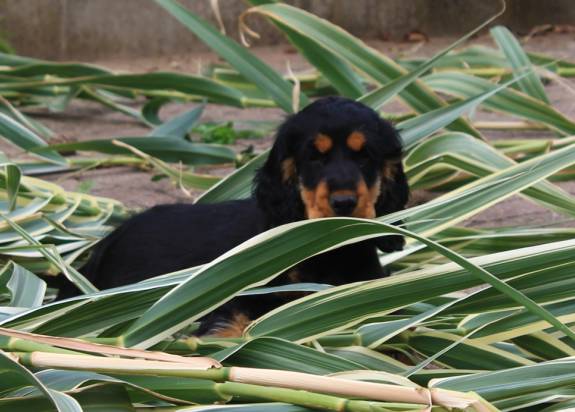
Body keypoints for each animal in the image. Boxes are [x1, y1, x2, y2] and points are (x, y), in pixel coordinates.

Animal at [59, 97, 410, 338]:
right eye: (314, 157)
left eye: (365, 156)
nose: (344, 202)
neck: (331, 250)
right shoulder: (237, 301)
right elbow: (234, 321)